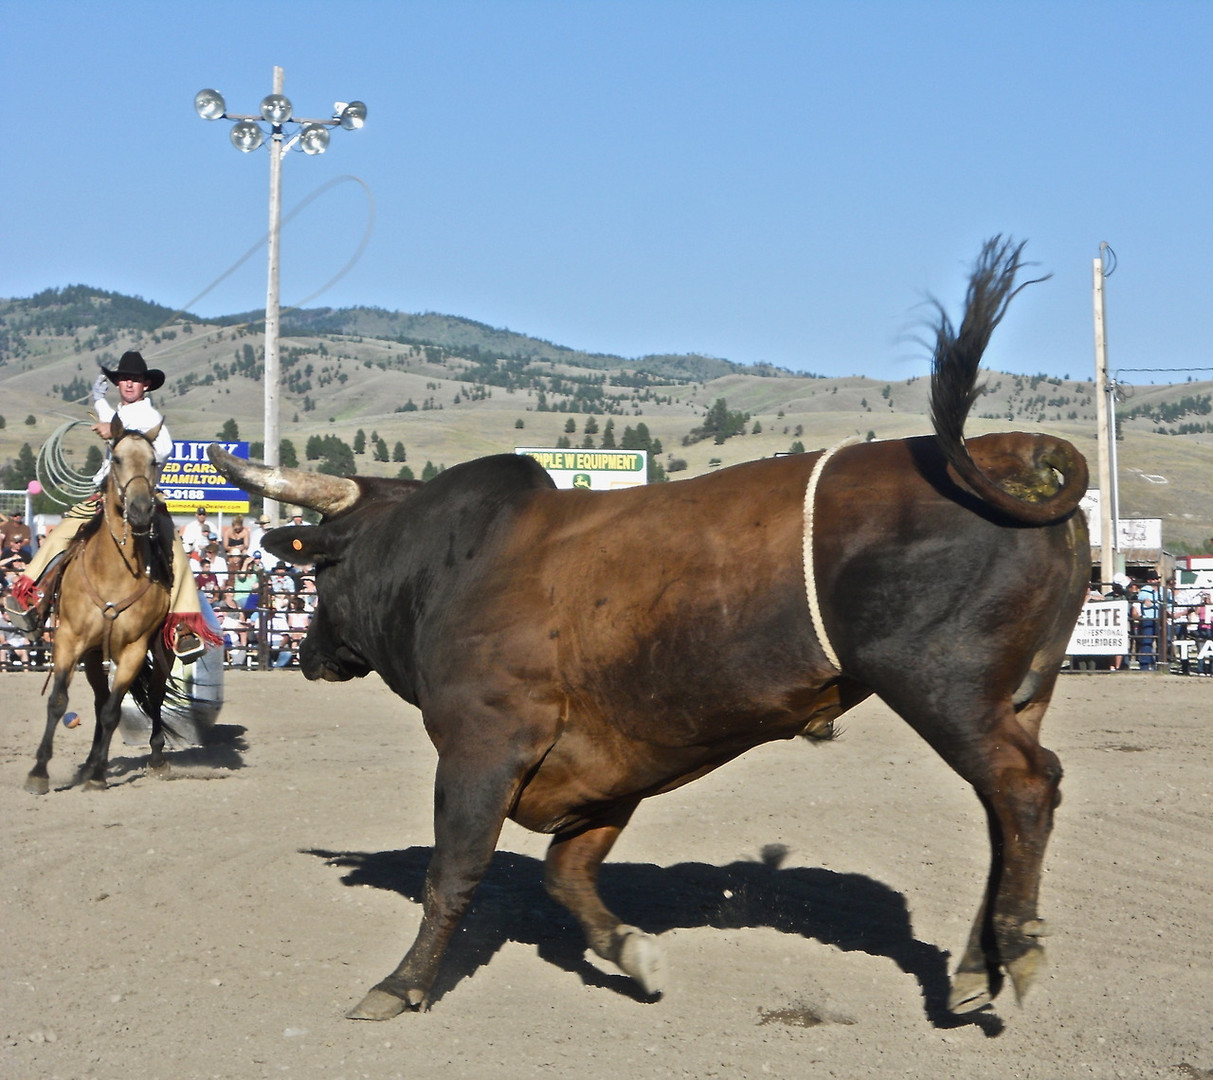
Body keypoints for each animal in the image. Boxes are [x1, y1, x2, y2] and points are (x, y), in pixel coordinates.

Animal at [25, 419, 177, 791]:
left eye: (154, 461)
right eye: (117, 459)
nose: (140, 511)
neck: (114, 571)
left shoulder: (135, 649)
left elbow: (113, 711)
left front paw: (97, 777)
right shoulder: (69, 640)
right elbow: (58, 702)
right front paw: (39, 772)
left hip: (160, 653)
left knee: (153, 695)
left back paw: (153, 757)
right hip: (94, 654)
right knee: (99, 699)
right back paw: (92, 762)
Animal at [208, 235, 1091, 1019]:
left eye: (319, 569)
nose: (310, 653)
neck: (454, 560)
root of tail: (999, 452)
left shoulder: (481, 743)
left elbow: (452, 872)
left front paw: (401, 985)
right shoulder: (610, 764)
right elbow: (565, 874)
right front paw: (632, 954)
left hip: (942, 686)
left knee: (1024, 788)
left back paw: (1015, 948)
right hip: (1018, 693)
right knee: (1002, 811)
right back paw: (976, 965)